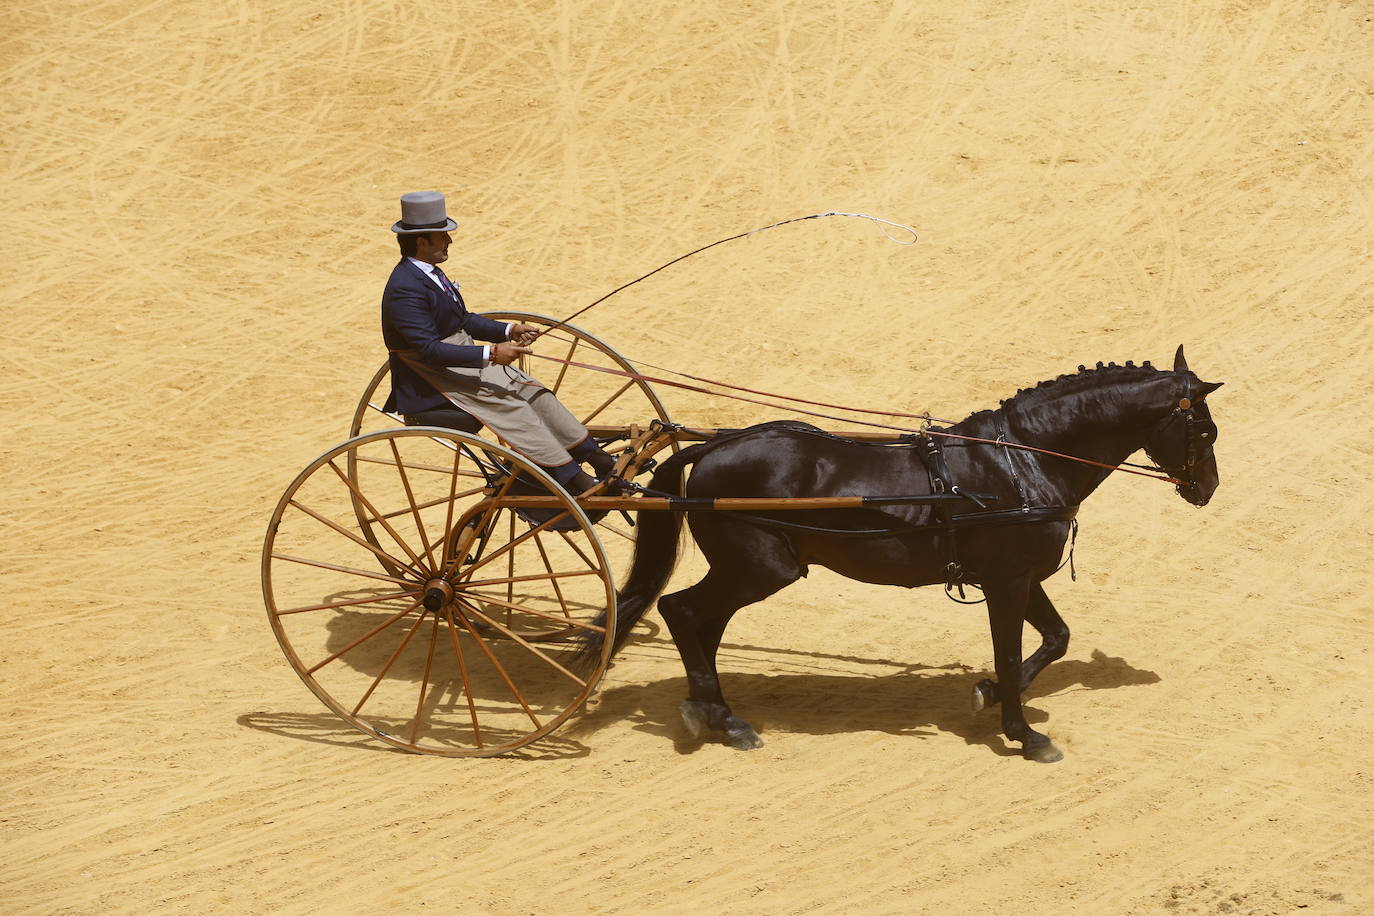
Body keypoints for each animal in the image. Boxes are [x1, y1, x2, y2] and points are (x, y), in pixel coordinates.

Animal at [579, 347, 1225, 763]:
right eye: (1206, 431)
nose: (1208, 488)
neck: (1022, 461)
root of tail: (712, 448)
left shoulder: (1018, 577)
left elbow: (1054, 639)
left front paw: (989, 693)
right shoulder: (1007, 581)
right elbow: (1011, 652)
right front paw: (1022, 733)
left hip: (749, 570)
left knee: (700, 624)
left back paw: (714, 712)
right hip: (762, 568)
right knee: (685, 613)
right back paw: (721, 718)